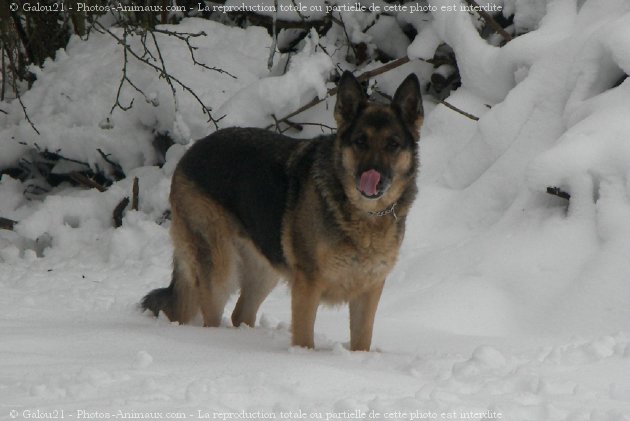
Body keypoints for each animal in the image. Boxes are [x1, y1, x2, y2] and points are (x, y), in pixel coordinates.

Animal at [141, 72, 422, 352]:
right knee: (213, 318)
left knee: (240, 314)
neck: (363, 214)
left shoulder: (369, 290)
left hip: (265, 269)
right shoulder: (307, 286)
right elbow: (305, 340)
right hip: (219, 270)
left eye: (393, 144)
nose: (372, 176)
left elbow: (362, 341)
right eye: (360, 142)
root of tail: (188, 153)